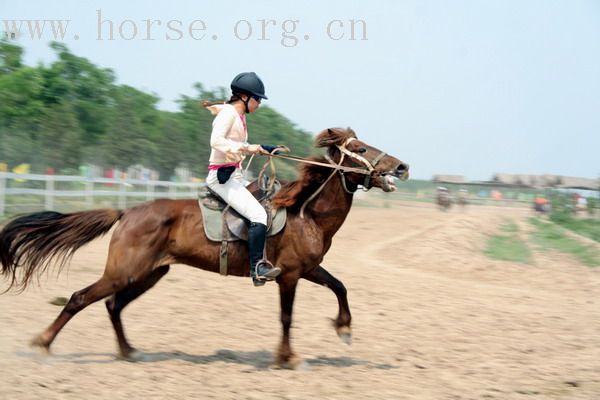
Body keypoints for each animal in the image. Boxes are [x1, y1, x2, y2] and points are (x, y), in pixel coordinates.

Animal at [0, 126, 408, 368]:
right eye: (360, 147)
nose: (402, 167)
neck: (305, 212)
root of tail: (128, 211)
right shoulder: (289, 276)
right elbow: (287, 317)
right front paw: (288, 357)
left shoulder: (307, 269)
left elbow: (340, 286)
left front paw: (344, 328)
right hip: (123, 272)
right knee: (79, 298)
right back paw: (42, 344)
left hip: (149, 274)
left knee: (113, 305)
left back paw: (129, 351)